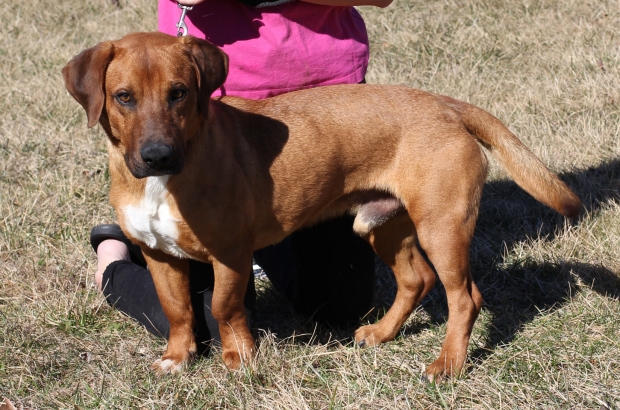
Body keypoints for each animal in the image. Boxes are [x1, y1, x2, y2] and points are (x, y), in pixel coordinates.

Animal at [63, 32, 580, 382]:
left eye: (179, 93)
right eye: (123, 98)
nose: (157, 156)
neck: (165, 182)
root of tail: (449, 105)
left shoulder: (230, 254)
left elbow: (225, 307)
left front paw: (239, 358)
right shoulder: (159, 254)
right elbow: (177, 309)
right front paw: (178, 356)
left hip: (443, 227)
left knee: (464, 298)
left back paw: (447, 364)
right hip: (381, 225)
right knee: (416, 280)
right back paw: (381, 334)